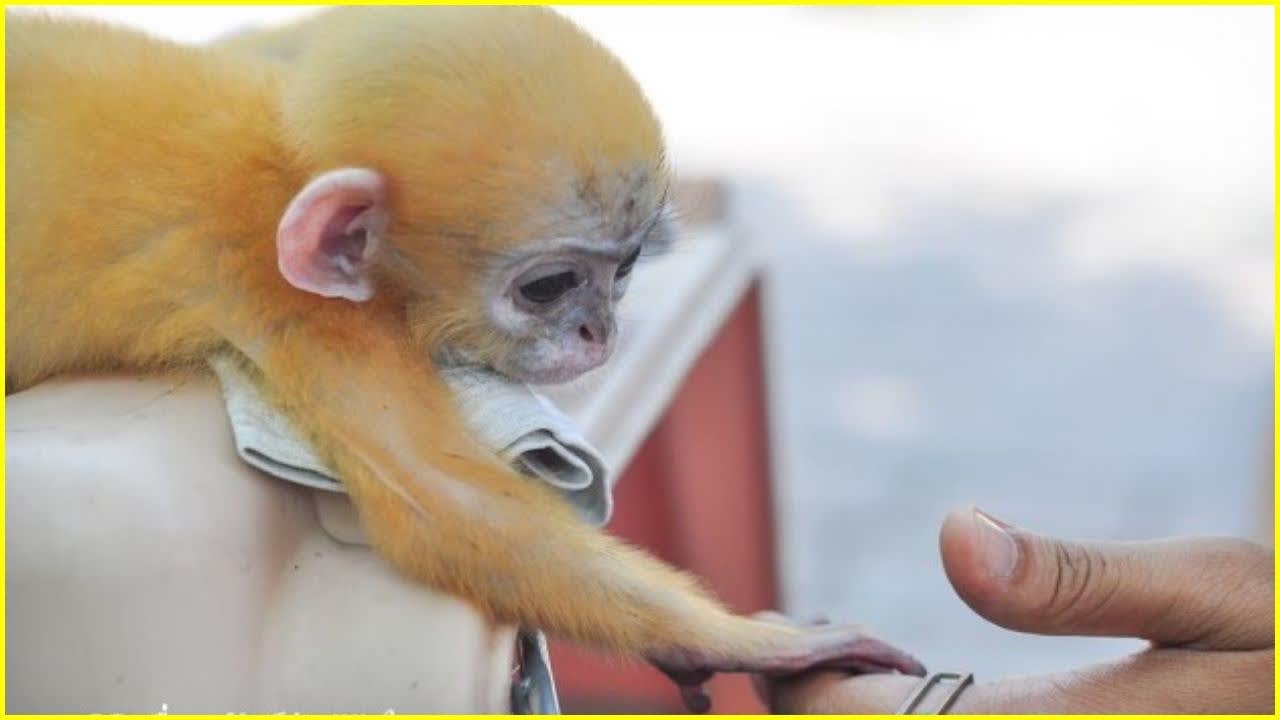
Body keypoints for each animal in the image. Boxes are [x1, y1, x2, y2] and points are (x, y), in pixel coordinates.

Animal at [5, 8, 924, 709]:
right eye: (551, 286)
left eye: (624, 271)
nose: (601, 333)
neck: (279, 165)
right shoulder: (311, 310)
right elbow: (441, 504)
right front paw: (739, 643)